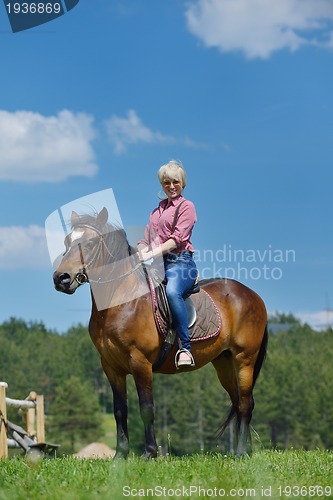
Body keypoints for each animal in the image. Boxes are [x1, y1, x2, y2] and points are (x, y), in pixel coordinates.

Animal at [53, 207, 268, 458]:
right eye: (67, 241)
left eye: (89, 243)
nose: (61, 278)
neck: (121, 301)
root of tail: (253, 296)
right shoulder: (111, 366)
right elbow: (119, 410)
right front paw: (120, 455)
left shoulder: (140, 362)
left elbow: (146, 408)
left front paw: (149, 453)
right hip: (224, 362)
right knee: (239, 400)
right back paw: (247, 452)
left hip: (244, 358)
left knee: (244, 403)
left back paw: (242, 451)